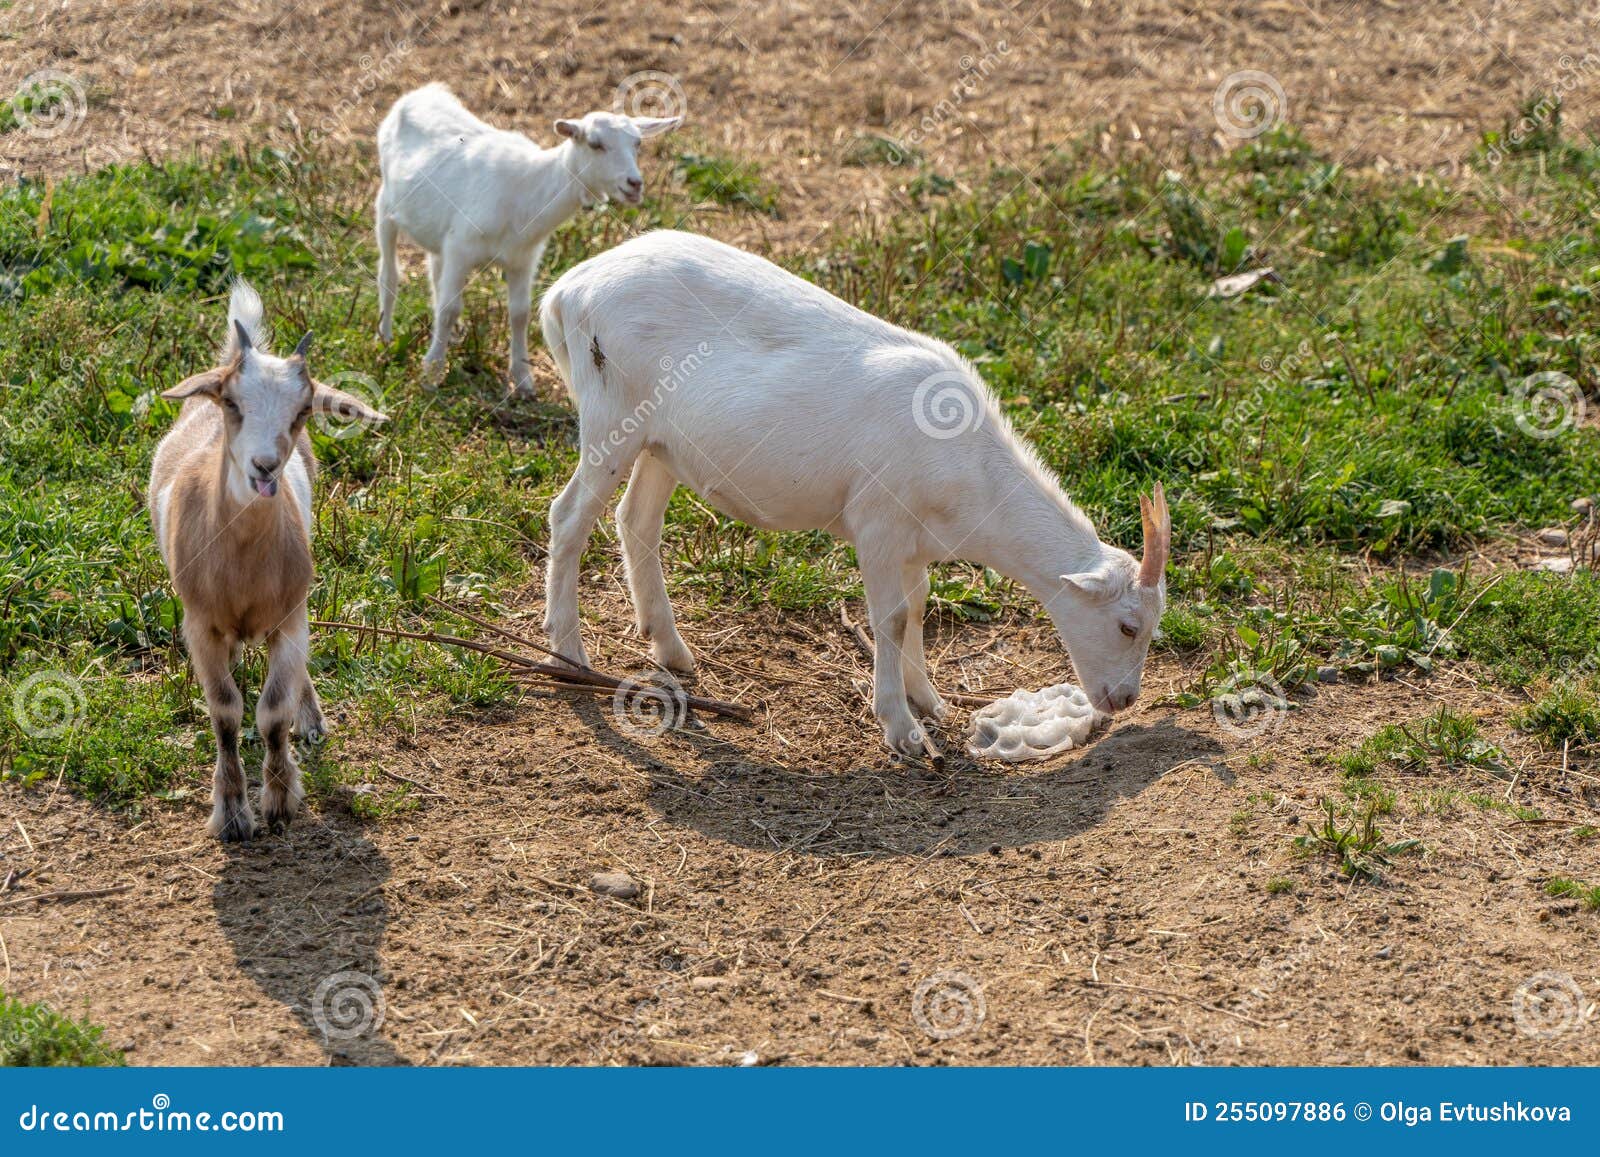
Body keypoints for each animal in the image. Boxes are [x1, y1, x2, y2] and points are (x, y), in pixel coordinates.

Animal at [149, 281, 386, 839]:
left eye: (302, 412)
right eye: (234, 402)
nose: (264, 466)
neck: (241, 565)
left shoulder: (291, 617)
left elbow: (273, 711)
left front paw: (279, 799)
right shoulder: (200, 624)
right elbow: (225, 712)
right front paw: (232, 812)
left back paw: (312, 719)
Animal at [375, 83, 681, 395]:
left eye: (637, 143)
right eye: (595, 144)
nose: (634, 184)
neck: (527, 189)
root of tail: (424, 91)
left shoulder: (523, 258)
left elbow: (519, 313)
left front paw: (523, 379)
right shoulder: (461, 247)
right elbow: (449, 308)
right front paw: (432, 372)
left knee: (435, 271)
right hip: (385, 204)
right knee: (389, 272)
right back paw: (385, 336)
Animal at [537, 230, 1171, 757]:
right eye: (1127, 626)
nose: (1124, 698)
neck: (970, 468)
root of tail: (567, 290)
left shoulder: (916, 541)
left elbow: (917, 608)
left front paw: (929, 700)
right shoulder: (878, 522)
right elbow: (889, 618)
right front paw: (901, 727)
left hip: (662, 444)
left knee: (636, 519)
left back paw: (670, 648)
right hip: (611, 415)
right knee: (568, 516)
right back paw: (569, 654)